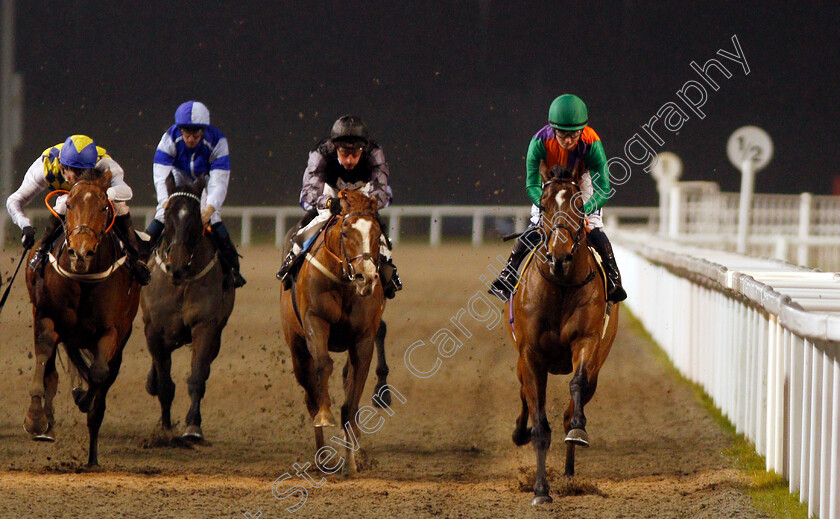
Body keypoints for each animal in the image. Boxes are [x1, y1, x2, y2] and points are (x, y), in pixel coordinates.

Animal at [24, 170, 140, 468]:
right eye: (69, 204)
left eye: (104, 207)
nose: (80, 253)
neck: (83, 280)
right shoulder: (47, 318)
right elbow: (44, 359)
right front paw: (36, 418)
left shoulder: (111, 331)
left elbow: (98, 374)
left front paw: (82, 397)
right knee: (53, 371)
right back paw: (48, 425)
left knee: (104, 379)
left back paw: (92, 458)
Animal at [140, 174, 233, 438]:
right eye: (168, 213)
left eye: (194, 217)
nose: (177, 267)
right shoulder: (153, 329)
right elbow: (164, 384)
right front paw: (165, 427)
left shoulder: (206, 326)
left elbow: (198, 376)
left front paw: (193, 425)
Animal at [508, 162, 620, 504]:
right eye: (544, 205)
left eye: (580, 206)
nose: (559, 257)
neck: (559, 287)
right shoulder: (530, 355)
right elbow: (539, 424)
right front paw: (541, 490)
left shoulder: (586, 342)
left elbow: (576, 387)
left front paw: (578, 431)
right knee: (525, 396)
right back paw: (520, 431)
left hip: (598, 362)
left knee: (574, 402)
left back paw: (570, 472)